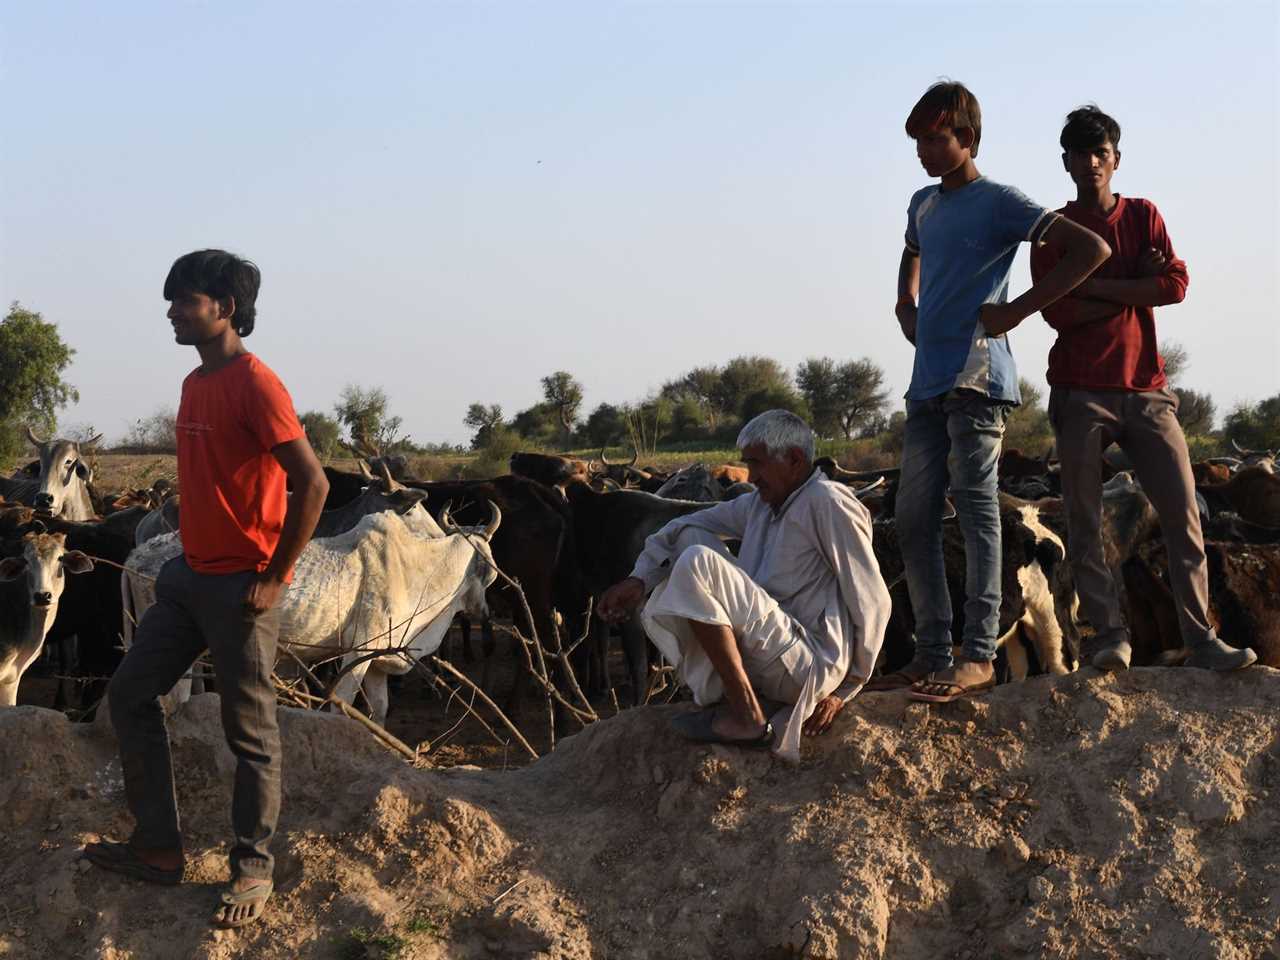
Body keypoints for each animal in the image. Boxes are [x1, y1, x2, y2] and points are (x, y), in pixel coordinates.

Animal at [119, 504, 499, 721]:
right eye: (490, 571)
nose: (484, 611)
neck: (417, 566)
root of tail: (134, 556)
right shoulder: (357, 653)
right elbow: (342, 705)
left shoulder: (378, 660)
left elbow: (379, 710)